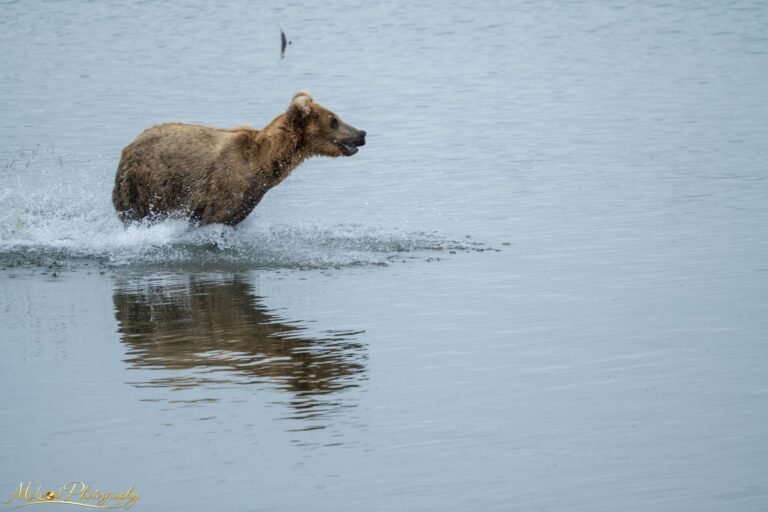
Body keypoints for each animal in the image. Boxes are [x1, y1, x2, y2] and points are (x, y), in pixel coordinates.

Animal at [112, 92, 366, 226]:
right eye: (334, 120)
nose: (361, 133)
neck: (263, 163)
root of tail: (127, 148)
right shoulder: (224, 186)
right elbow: (215, 217)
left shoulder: (248, 196)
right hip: (149, 185)